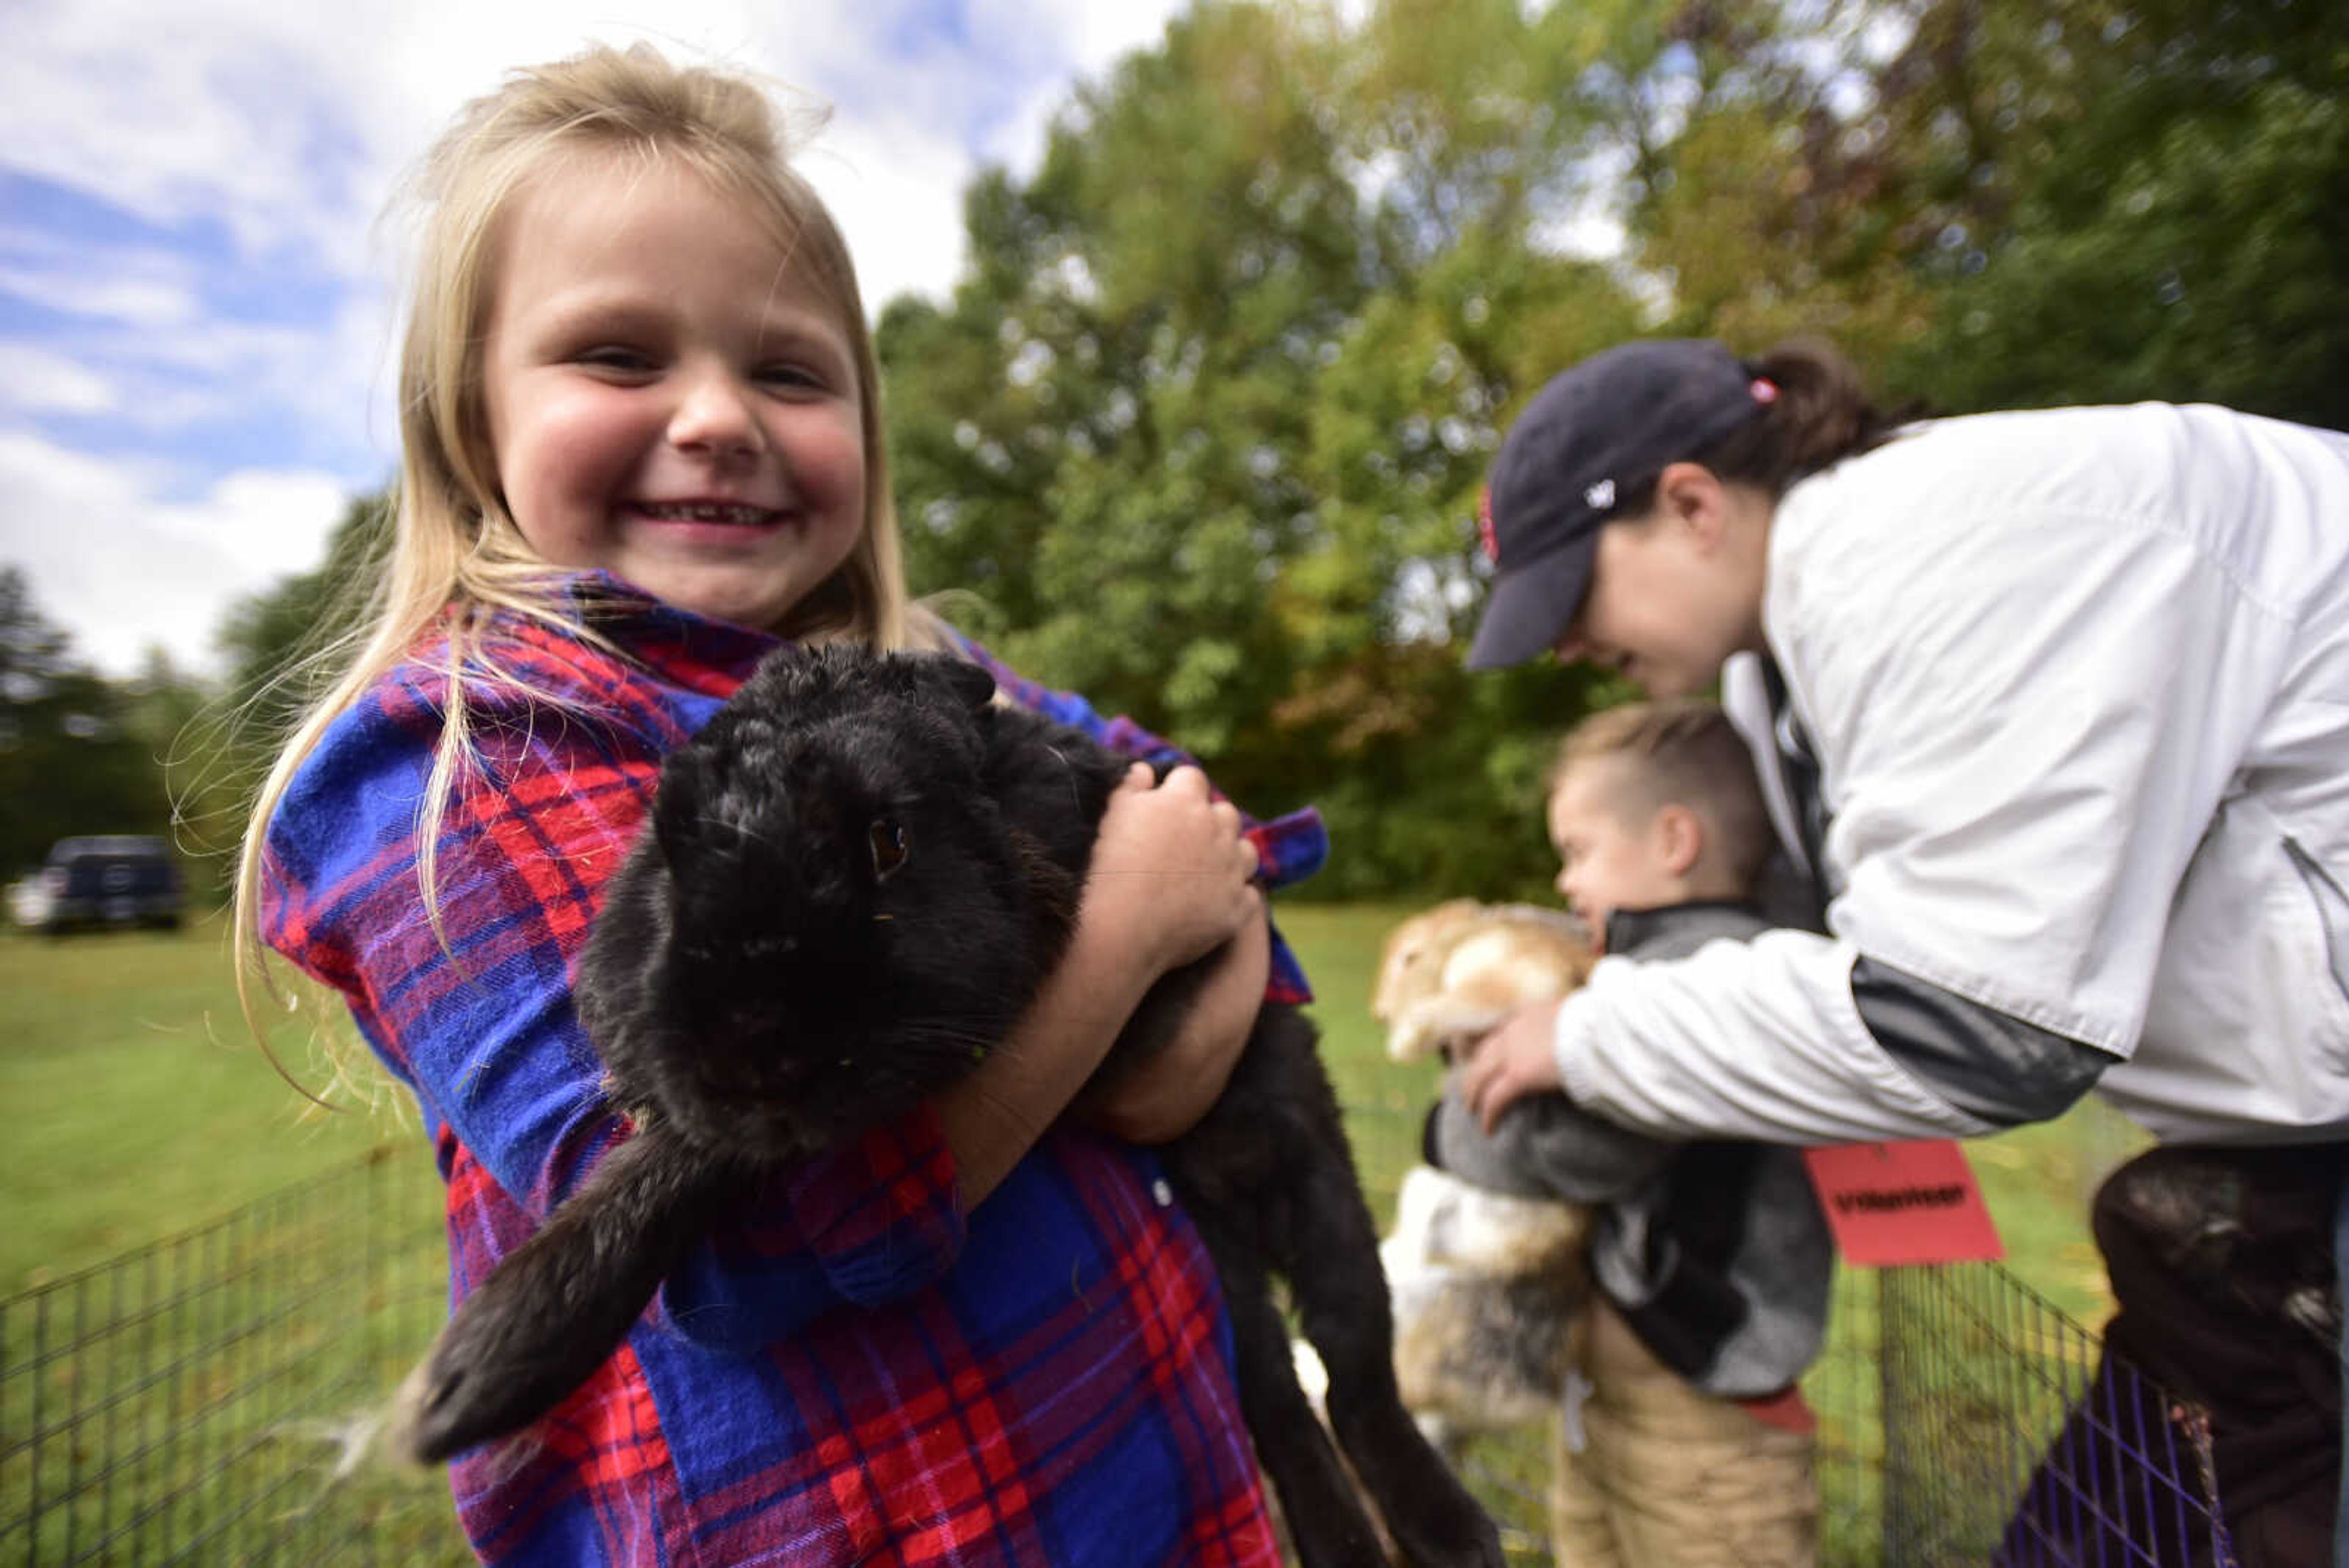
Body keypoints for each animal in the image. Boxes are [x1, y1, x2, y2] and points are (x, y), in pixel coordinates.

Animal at [396, 644, 1503, 1568]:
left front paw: (463, 1382)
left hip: (1317, 1171)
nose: (748, 1053)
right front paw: (461, 1388)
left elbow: (685, 1158)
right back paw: (1347, 1545)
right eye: (666, 849)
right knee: (1276, 1383)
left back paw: (1455, 1535)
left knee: (1355, 1360)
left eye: (889, 840)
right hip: (1227, 1253)